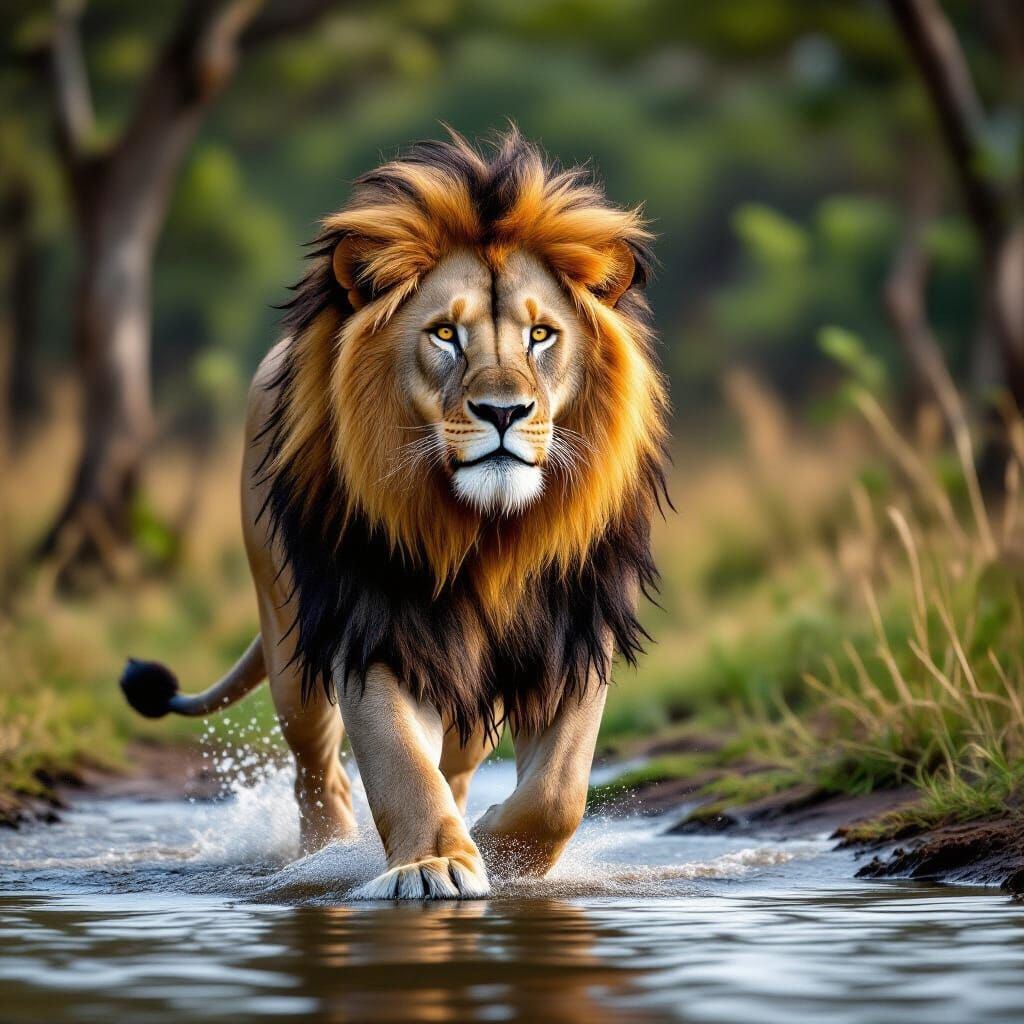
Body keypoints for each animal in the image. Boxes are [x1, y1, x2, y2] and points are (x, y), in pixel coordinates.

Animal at [120, 128, 669, 899]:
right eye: (444, 334)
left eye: (541, 335)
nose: (504, 412)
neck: (487, 535)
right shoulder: (372, 627)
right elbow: (400, 764)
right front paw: (434, 863)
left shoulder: (573, 632)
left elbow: (558, 793)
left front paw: (496, 847)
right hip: (290, 641)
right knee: (317, 772)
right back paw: (322, 855)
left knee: (457, 764)